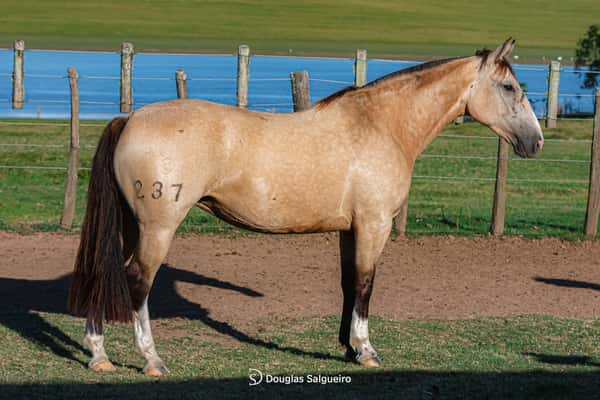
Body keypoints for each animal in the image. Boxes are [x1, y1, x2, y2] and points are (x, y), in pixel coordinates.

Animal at [69, 39, 544, 376]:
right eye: (509, 87)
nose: (535, 141)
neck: (381, 125)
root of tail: (130, 118)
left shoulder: (351, 229)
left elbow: (350, 284)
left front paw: (347, 347)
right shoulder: (374, 225)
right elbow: (367, 284)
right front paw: (366, 350)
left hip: (131, 225)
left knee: (105, 272)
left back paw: (98, 354)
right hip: (157, 229)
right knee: (136, 281)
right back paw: (151, 360)